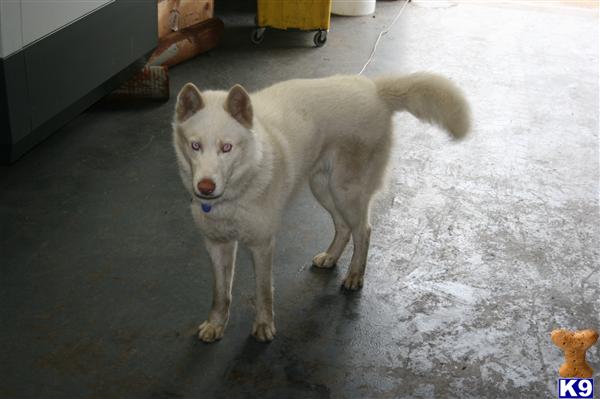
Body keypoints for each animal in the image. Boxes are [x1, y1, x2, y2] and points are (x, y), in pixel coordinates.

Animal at [171, 73, 472, 342]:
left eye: (227, 148)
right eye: (195, 145)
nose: (205, 187)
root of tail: (373, 88)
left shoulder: (262, 245)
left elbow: (263, 291)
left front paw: (264, 326)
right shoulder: (216, 244)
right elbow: (221, 293)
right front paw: (215, 324)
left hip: (345, 192)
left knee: (364, 230)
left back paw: (354, 276)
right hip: (322, 187)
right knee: (343, 228)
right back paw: (331, 257)